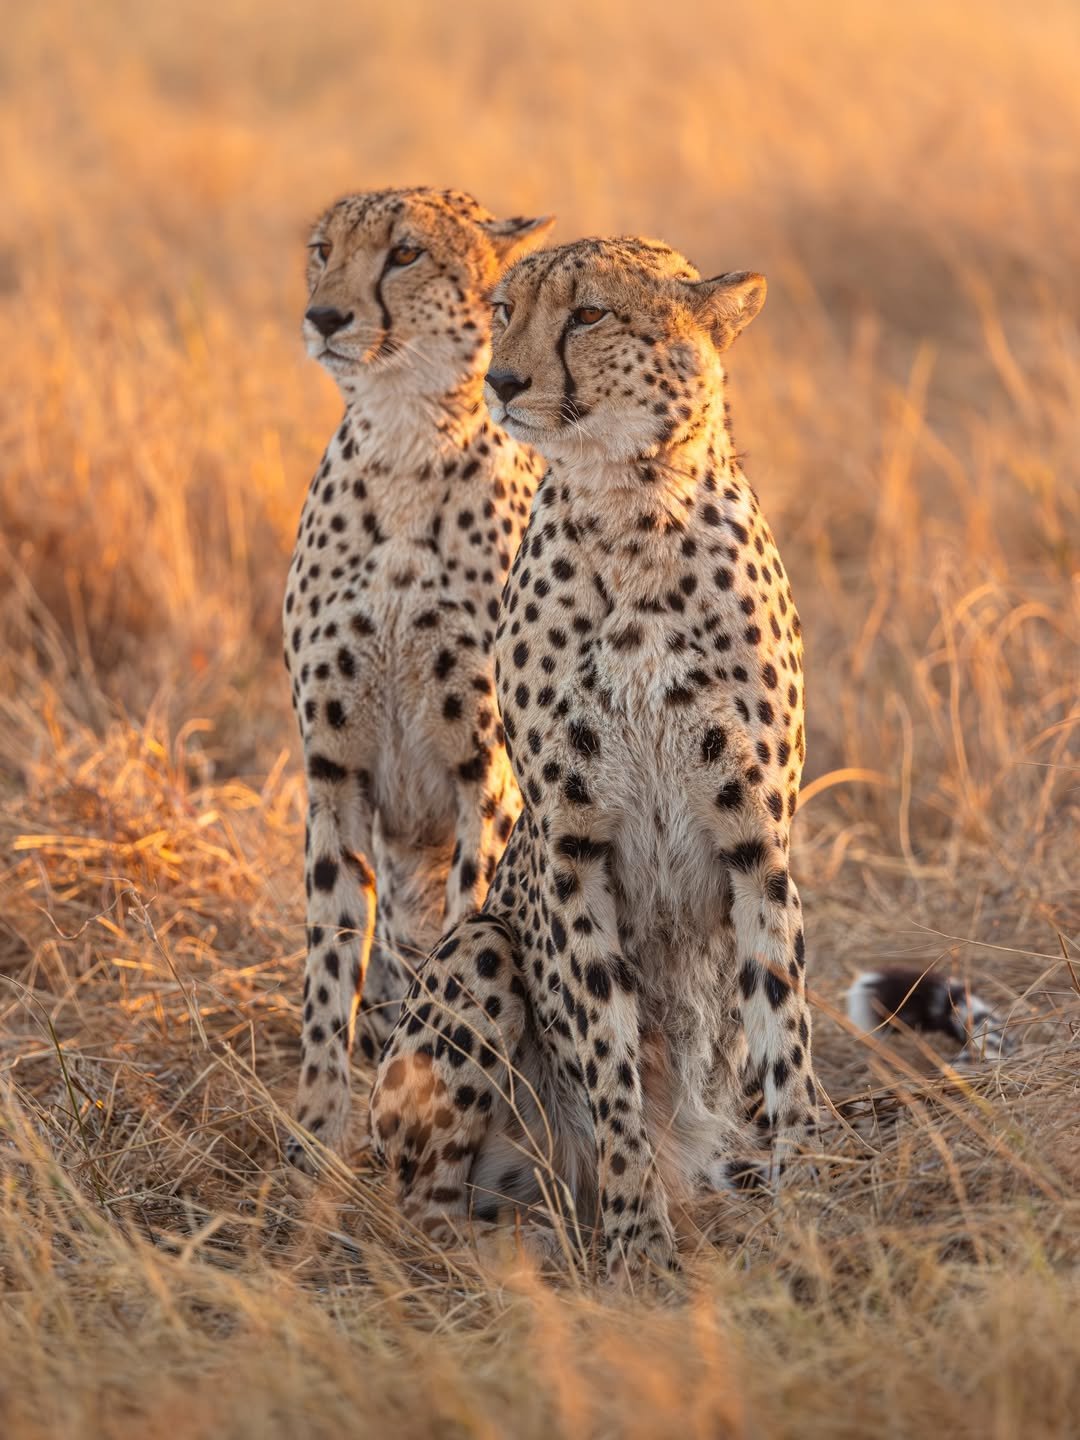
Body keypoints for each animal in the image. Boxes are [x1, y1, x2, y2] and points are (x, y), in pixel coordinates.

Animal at [282, 187, 553, 1170]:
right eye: (323, 250)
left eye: (405, 253)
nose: (325, 316)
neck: (404, 444)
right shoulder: (335, 775)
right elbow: (330, 962)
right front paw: (317, 1133)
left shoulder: (488, 774)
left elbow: (466, 925)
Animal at [369, 234, 819, 1279]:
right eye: (502, 311)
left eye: (589, 314)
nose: (501, 381)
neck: (635, 508)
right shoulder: (572, 847)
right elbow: (608, 1060)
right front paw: (637, 1243)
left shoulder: (759, 844)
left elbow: (783, 1033)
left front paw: (806, 1212)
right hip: (480, 949)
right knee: (417, 1208)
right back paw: (525, 1243)